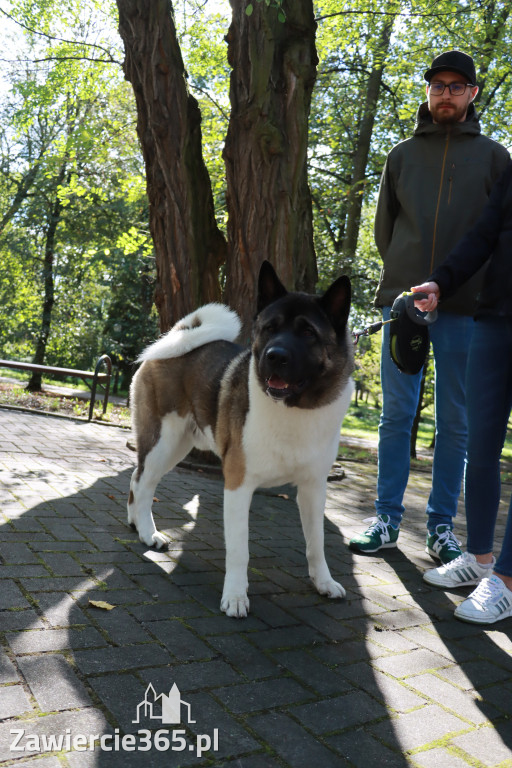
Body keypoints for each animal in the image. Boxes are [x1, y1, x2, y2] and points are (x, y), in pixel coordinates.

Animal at [128, 260, 354, 616]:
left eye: (307, 333)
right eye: (269, 328)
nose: (274, 356)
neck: (294, 408)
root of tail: (178, 337)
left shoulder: (314, 489)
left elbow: (316, 543)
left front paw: (324, 582)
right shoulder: (238, 485)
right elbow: (239, 549)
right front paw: (235, 595)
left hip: (178, 447)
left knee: (136, 481)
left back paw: (136, 524)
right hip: (162, 442)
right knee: (143, 483)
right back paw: (149, 534)